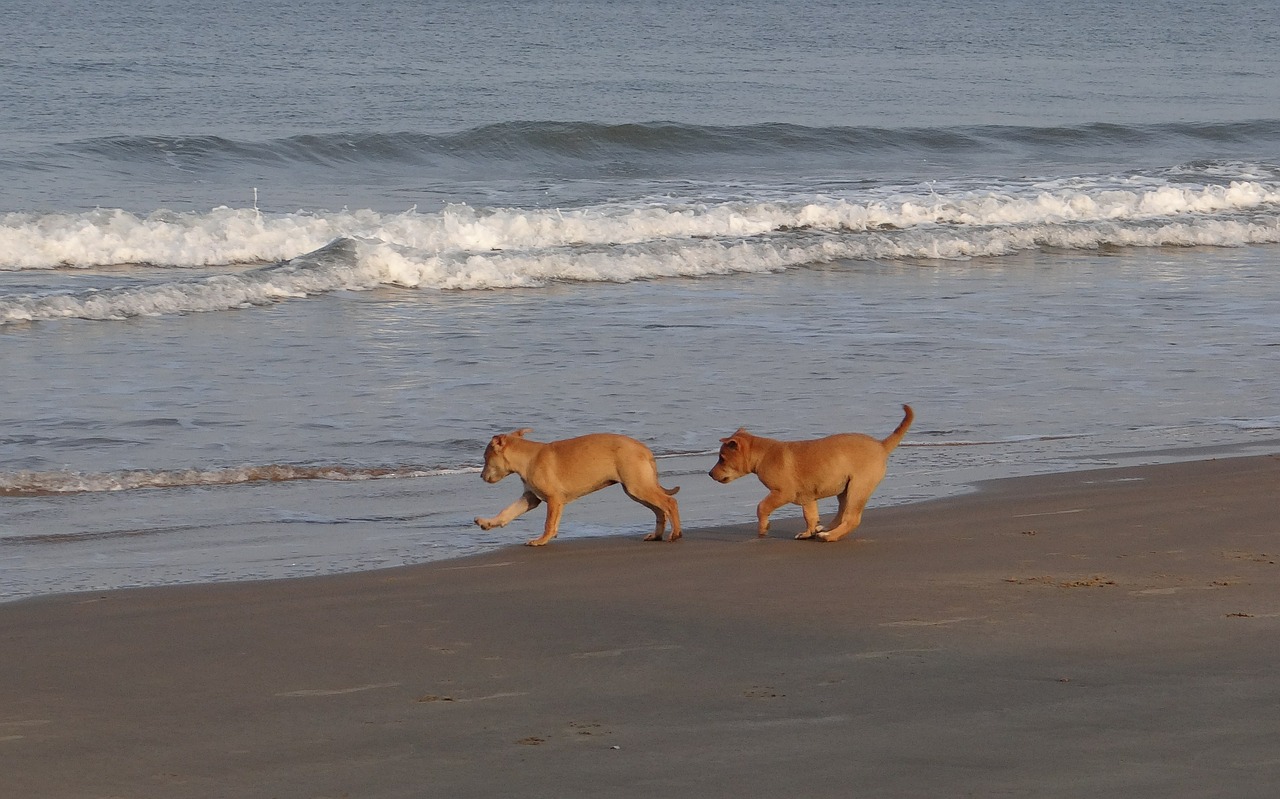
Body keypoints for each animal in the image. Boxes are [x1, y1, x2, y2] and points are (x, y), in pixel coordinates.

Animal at [478, 430, 680, 548]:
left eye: (486, 458)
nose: (481, 476)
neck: (528, 458)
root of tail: (645, 449)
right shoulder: (530, 498)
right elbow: (507, 512)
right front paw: (488, 522)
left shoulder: (553, 499)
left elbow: (548, 522)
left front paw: (542, 539)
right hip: (635, 489)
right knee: (660, 510)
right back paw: (657, 535)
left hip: (638, 486)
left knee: (670, 502)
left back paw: (675, 534)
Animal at [711, 404, 911, 542]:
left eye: (722, 458)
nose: (710, 474)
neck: (763, 454)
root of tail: (881, 446)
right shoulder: (807, 497)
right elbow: (810, 516)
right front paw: (809, 532)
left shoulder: (782, 493)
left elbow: (762, 507)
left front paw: (763, 528)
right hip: (845, 490)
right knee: (842, 514)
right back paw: (824, 530)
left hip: (858, 488)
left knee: (852, 519)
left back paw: (829, 536)